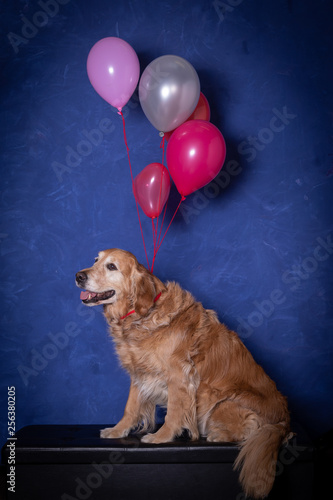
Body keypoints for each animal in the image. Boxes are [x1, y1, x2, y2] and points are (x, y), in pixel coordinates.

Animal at [75, 248, 290, 498]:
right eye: (95, 260)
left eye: (112, 267)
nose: (78, 276)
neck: (141, 315)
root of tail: (284, 422)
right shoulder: (140, 374)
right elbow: (131, 408)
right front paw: (118, 430)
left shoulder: (179, 376)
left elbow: (174, 412)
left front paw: (161, 437)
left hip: (222, 401)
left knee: (252, 429)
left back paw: (219, 434)